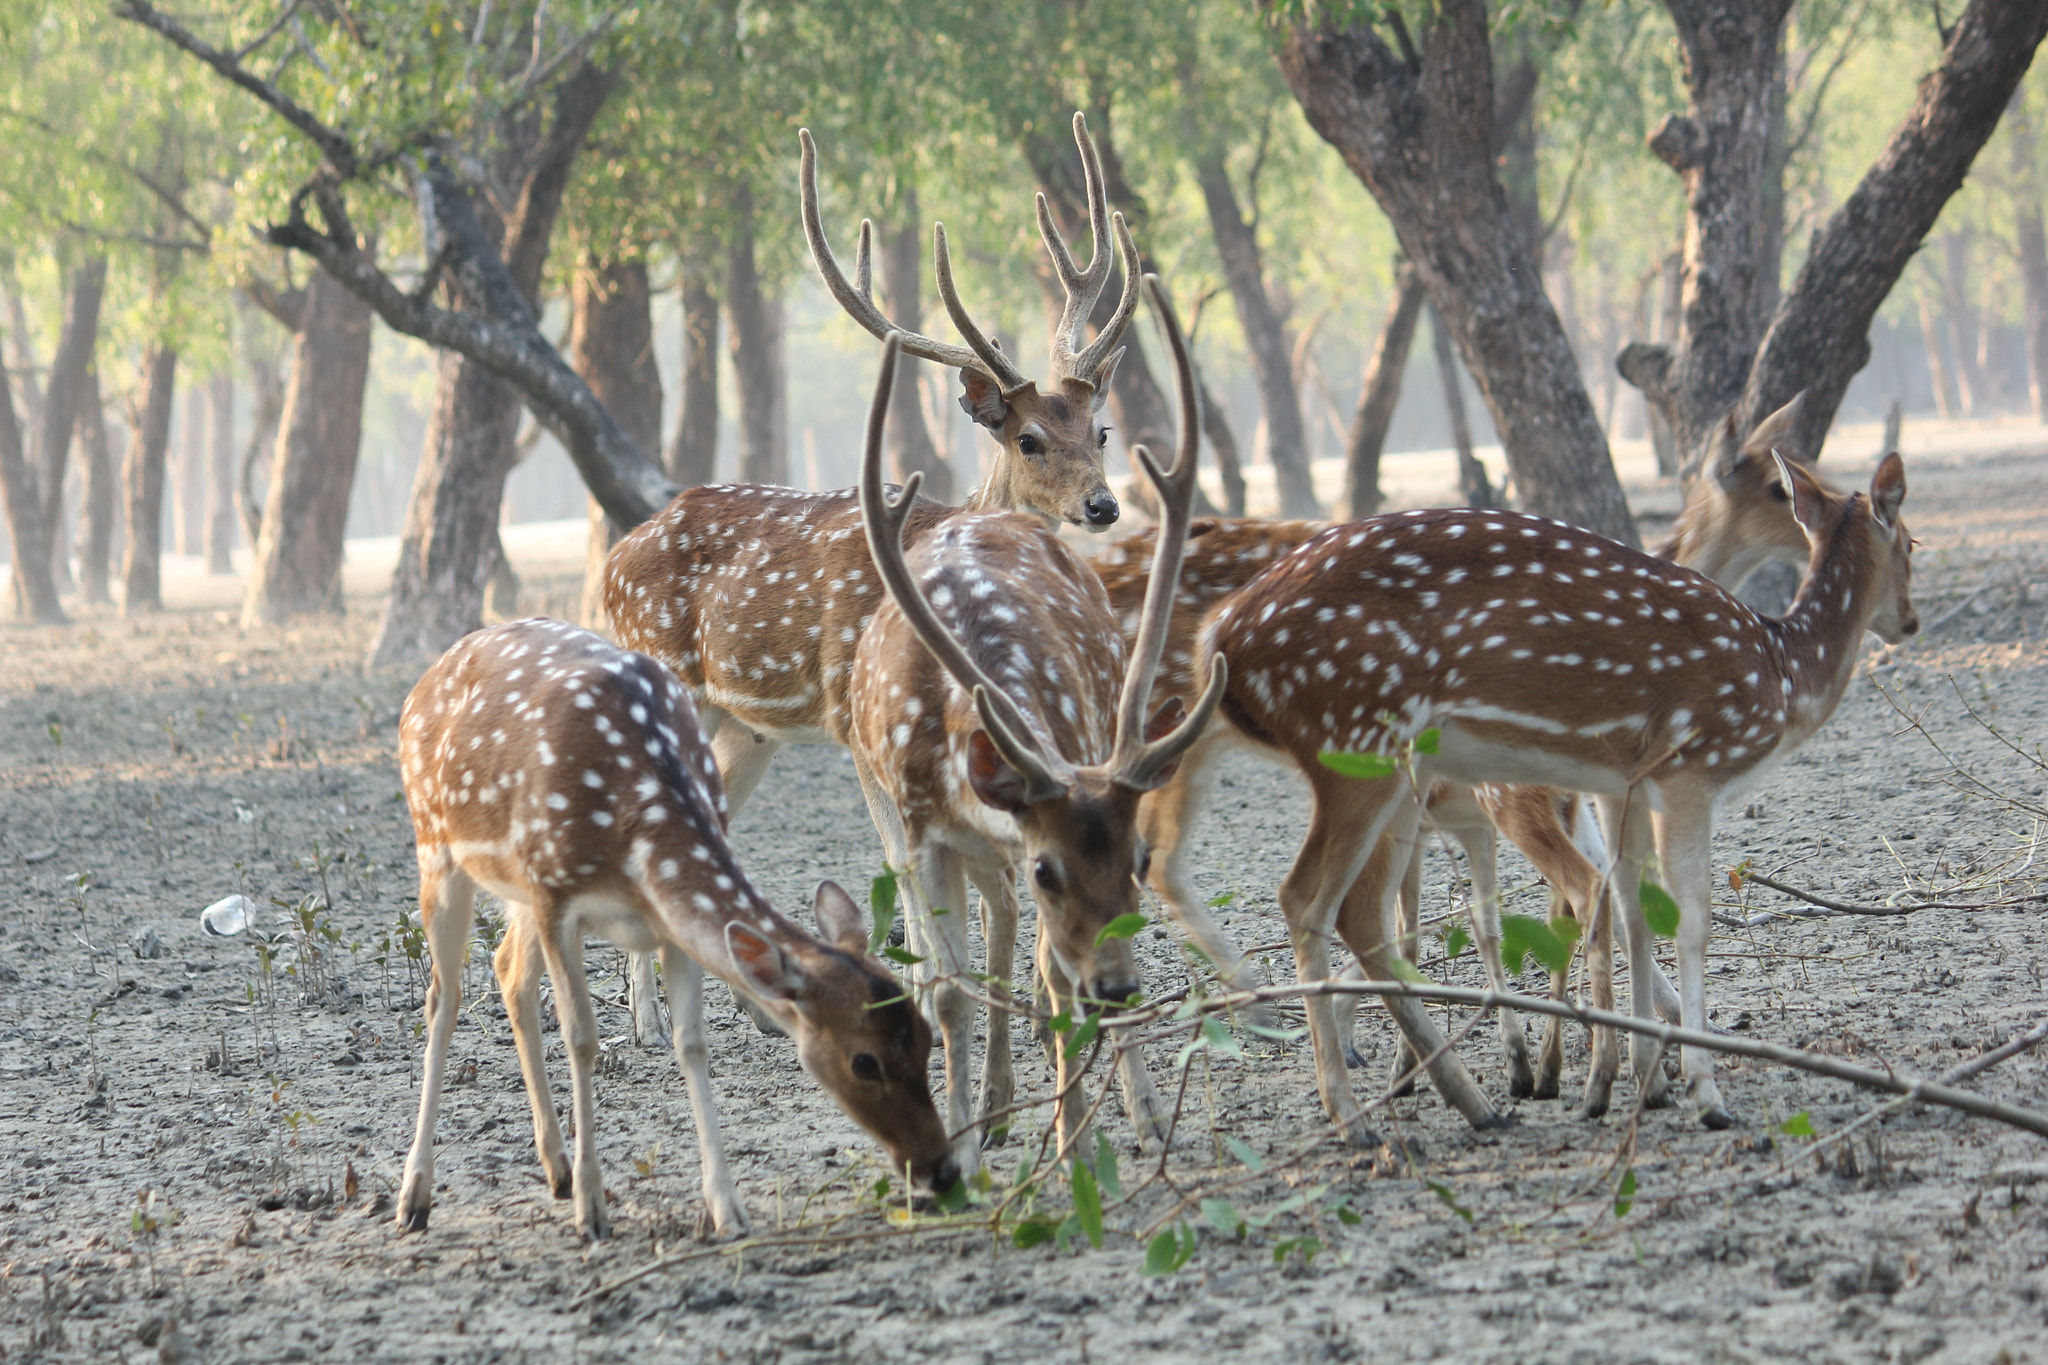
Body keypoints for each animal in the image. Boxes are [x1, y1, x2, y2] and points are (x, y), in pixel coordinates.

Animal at [394, 618, 955, 1241]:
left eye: (925, 1037)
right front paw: (594, 1210)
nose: (942, 1168)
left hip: (516, 886)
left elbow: (692, 1042)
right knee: (443, 997)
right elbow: (582, 1037)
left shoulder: (662, 924)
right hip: (438, 847)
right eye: (864, 1061)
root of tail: (429, 675)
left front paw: (727, 1208)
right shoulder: (556, 897)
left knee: (508, 969)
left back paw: (556, 1168)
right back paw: (415, 1196)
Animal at [602, 112, 1139, 1048]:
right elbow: (904, 861)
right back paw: (645, 1025)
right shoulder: (858, 718)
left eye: (1099, 428)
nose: (1103, 505)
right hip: (674, 682)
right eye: (1029, 437)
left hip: (749, 727)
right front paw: (929, 997)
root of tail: (607, 562)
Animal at [850, 290, 1224, 1175]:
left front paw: (1081, 1143)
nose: (1119, 987)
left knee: (1025, 949)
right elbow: (948, 987)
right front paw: (956, 1157)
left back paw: (1115, 1112)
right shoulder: (927, 832)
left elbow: (1052, 977)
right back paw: (994, 1112)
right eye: (1054, 868)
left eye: (1141, 858)